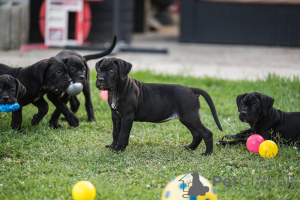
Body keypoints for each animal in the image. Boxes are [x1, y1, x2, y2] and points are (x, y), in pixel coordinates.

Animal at [95, 57, 223, 155]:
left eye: (111, 71)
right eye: (99, 70)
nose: (100, 79)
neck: (116, 90)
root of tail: (191, 89)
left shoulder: (127, 117)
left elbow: (123, 134)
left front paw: (119, 149)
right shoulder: (116, 116)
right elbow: (116, 132)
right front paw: (113, 146)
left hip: (190, 116)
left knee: (206, 133)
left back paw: (207, 153)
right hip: (187, 118)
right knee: (197, 134)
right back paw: (190, 148)